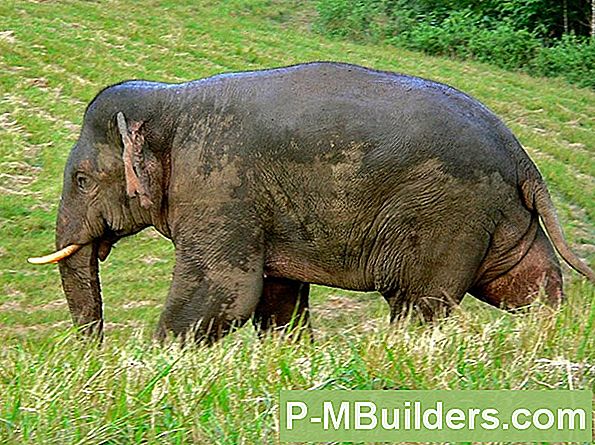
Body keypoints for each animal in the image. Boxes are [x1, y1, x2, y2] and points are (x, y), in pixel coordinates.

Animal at [29, 61, 595, 340]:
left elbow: (225, 290)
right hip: (498, 214)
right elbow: (276, 295)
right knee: (526, 281)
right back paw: (552, 331)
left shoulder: (218, 184)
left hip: (447, 213)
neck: (172, 98)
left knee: (419, 302)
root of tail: (519, 152)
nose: (96, 351)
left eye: (81, 179)